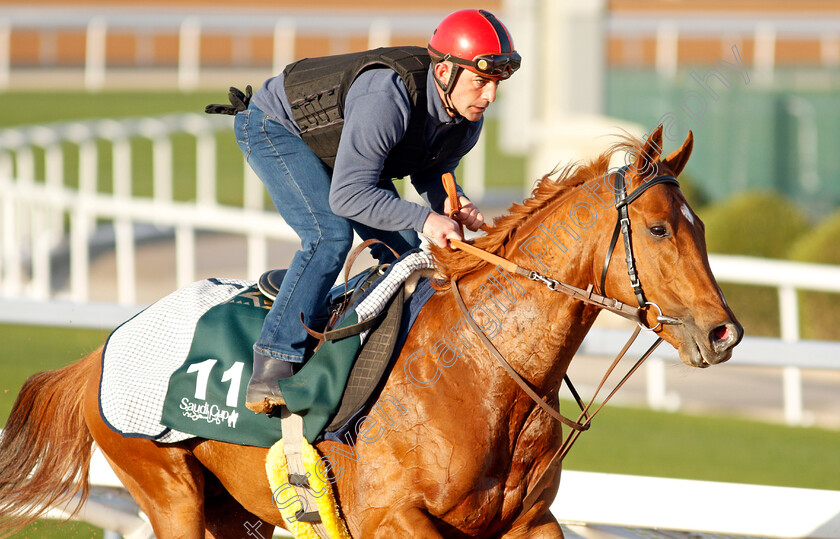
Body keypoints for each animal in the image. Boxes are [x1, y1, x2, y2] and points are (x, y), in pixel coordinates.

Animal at [0, 124, 740, 536]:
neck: (485, 375)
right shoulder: (392, 516)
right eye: (658, 228)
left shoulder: (528, 522)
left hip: (234, 510)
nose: (724, 332)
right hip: (166, 489)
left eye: (703, 226)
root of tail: (100, 350)